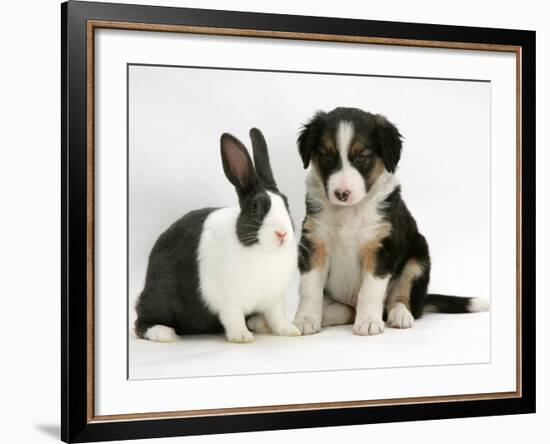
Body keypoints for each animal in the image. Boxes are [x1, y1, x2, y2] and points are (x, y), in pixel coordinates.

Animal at [296, 108, 490, 336]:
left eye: (361, 157)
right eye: (327, 155)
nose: (342, 194)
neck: (349, 211)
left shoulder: (381, 248)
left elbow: (370, 289)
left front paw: (368, 322)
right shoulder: (315, 243)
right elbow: (310, 287)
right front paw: (305, 319)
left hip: (418, 257)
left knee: (398, 300)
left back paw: (400, 315)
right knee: (347, 311)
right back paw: (325, 315)